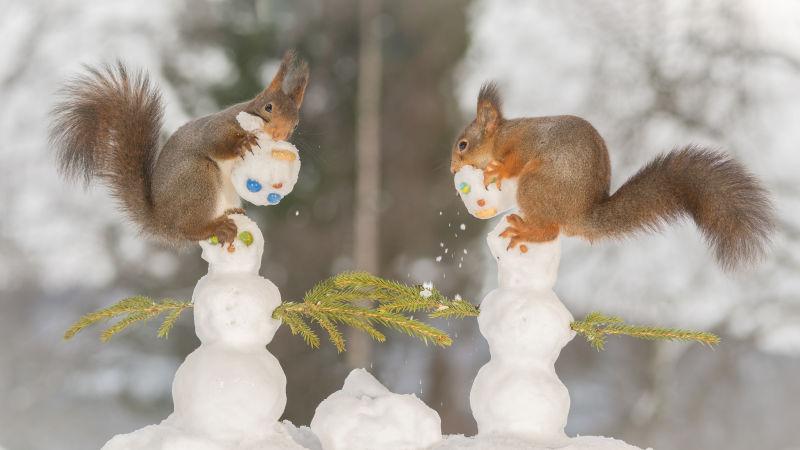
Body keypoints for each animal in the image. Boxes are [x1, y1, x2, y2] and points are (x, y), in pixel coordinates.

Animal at [48, 50, 308, 244]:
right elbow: (216, 143)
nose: (279, 134)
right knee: (189, 230)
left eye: (295, 124)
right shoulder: (218, 127)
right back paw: (216, 227)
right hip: (197, 177)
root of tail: (163, 221)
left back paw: (229, 214)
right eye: (268, 107)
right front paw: (243, 143)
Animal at [454, 81, 780, 270]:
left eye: (462, 145)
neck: (500, 135)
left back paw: (523, 230)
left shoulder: (521, 144)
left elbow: (513, 162)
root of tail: (581, 215)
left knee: (550, 231)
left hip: (535, 186)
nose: (452, 169)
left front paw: (497, 170)